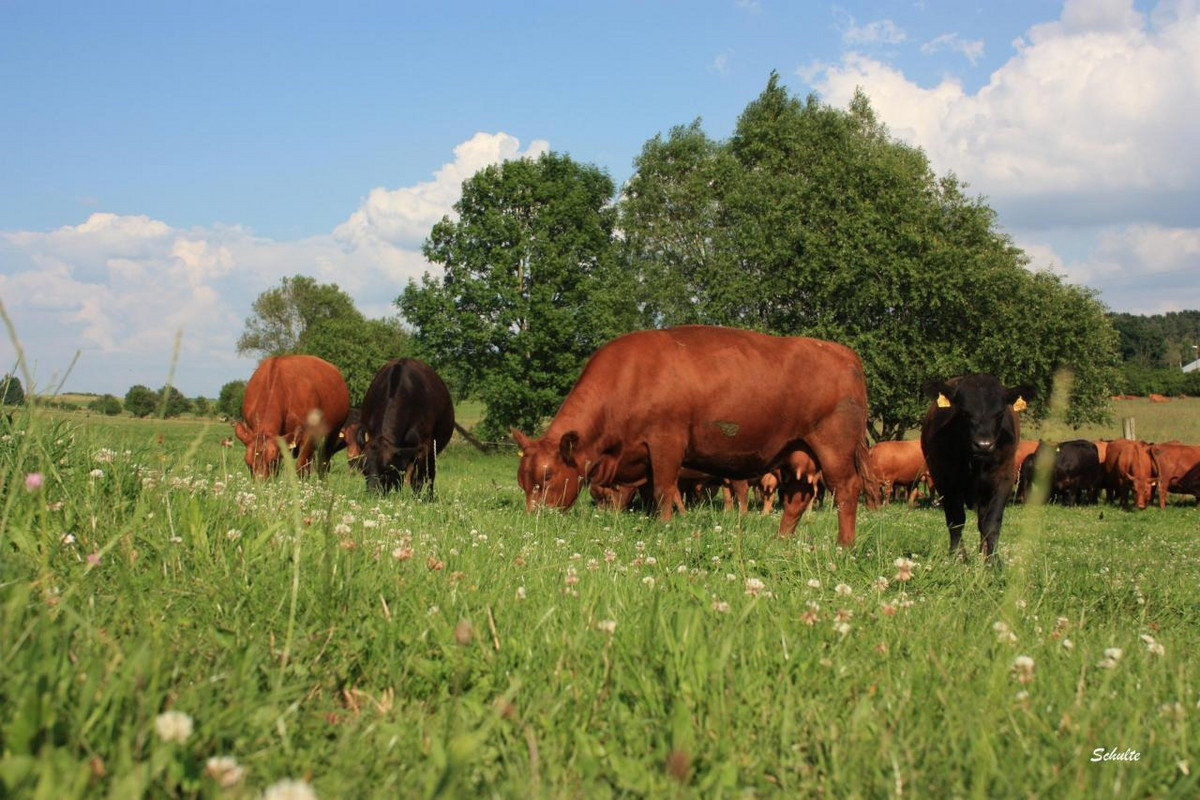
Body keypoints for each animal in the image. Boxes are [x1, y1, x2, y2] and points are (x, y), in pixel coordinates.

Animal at [355, 357, 453, 494]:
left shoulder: (423, 448)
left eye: (386, 470)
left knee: (430, 477)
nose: (373, 493)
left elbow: (418, 480)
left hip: (432, 453)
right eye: (364, 470)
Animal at [508, 326, 873, 544]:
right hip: (797, 455)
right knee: (798, 497)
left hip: (834, 448)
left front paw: (664, 529)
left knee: (846, 490)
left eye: (548, 477)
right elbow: (649, 495)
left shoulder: (666, 442)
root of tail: (844, 354)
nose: (534, 521)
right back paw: (780, 540)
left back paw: (844, 545)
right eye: (523, 481)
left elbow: (664, 491)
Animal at [916, 376, 1032, 561]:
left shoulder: (1004, 478)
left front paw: (993, 561)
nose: (984, 445)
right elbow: (956, 521)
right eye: (964, 412)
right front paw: (957, 558)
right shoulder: (945, 480)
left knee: (982, 522)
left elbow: (991, 523)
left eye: (1000, 413)